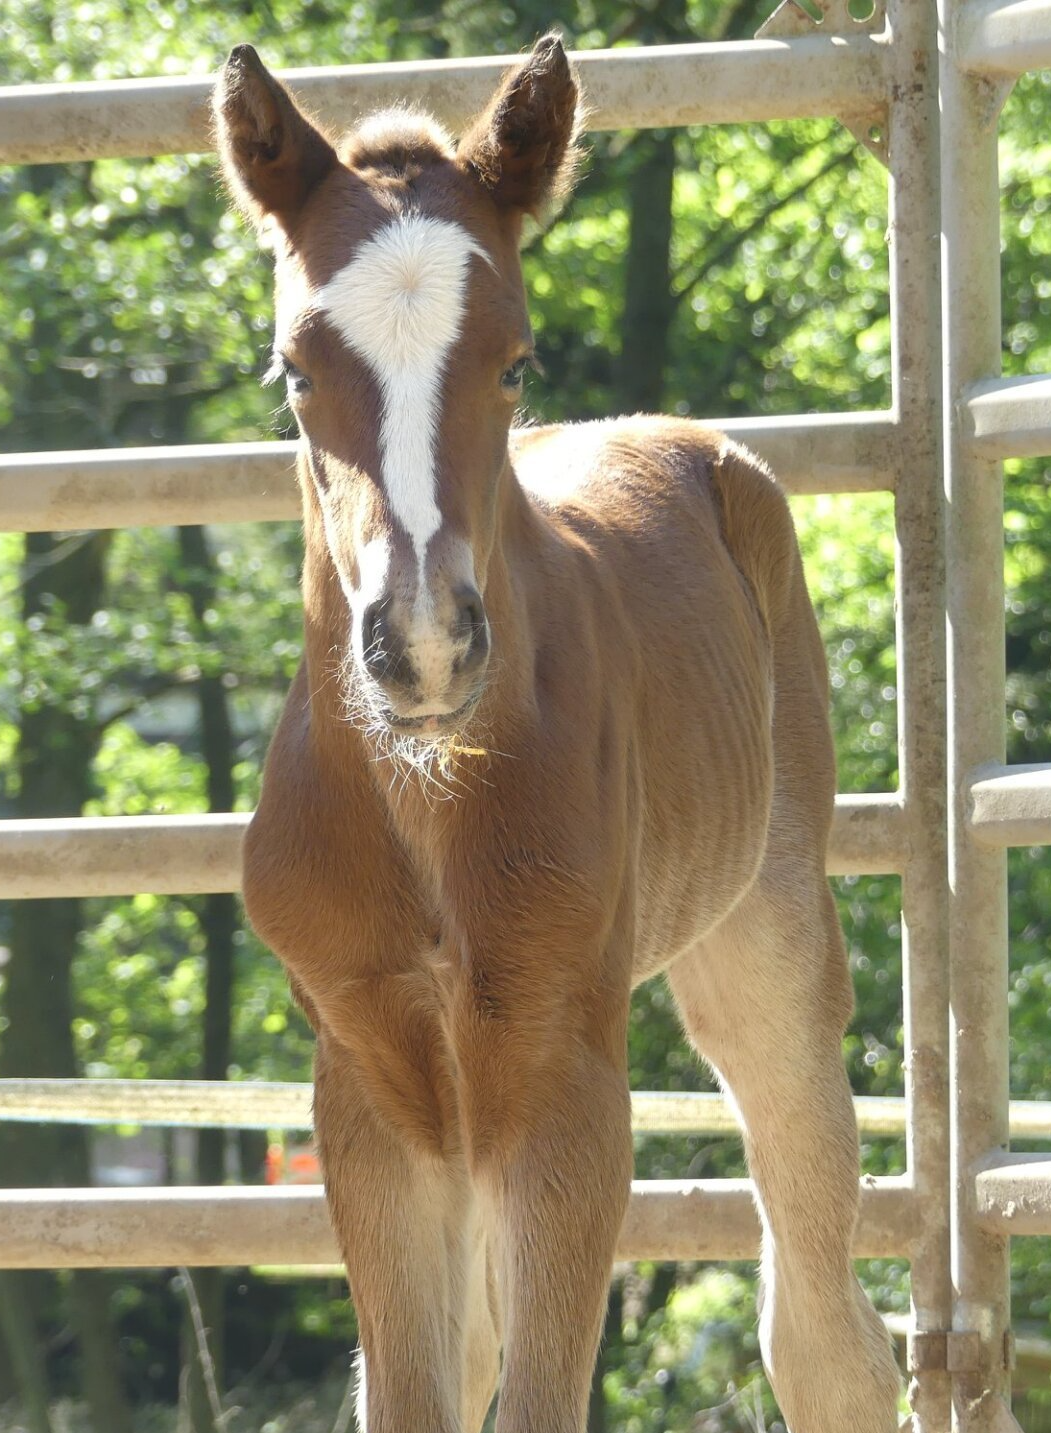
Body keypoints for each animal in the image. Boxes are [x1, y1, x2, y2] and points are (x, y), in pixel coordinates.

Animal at [213, 34, 901, 1433]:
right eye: (295, 370)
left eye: (516, 360)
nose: (423, 642)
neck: (427, 797)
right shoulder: (366, 1089)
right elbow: (414, 1391)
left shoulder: (563, 1079)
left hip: (768, 949)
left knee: (823, 1334)